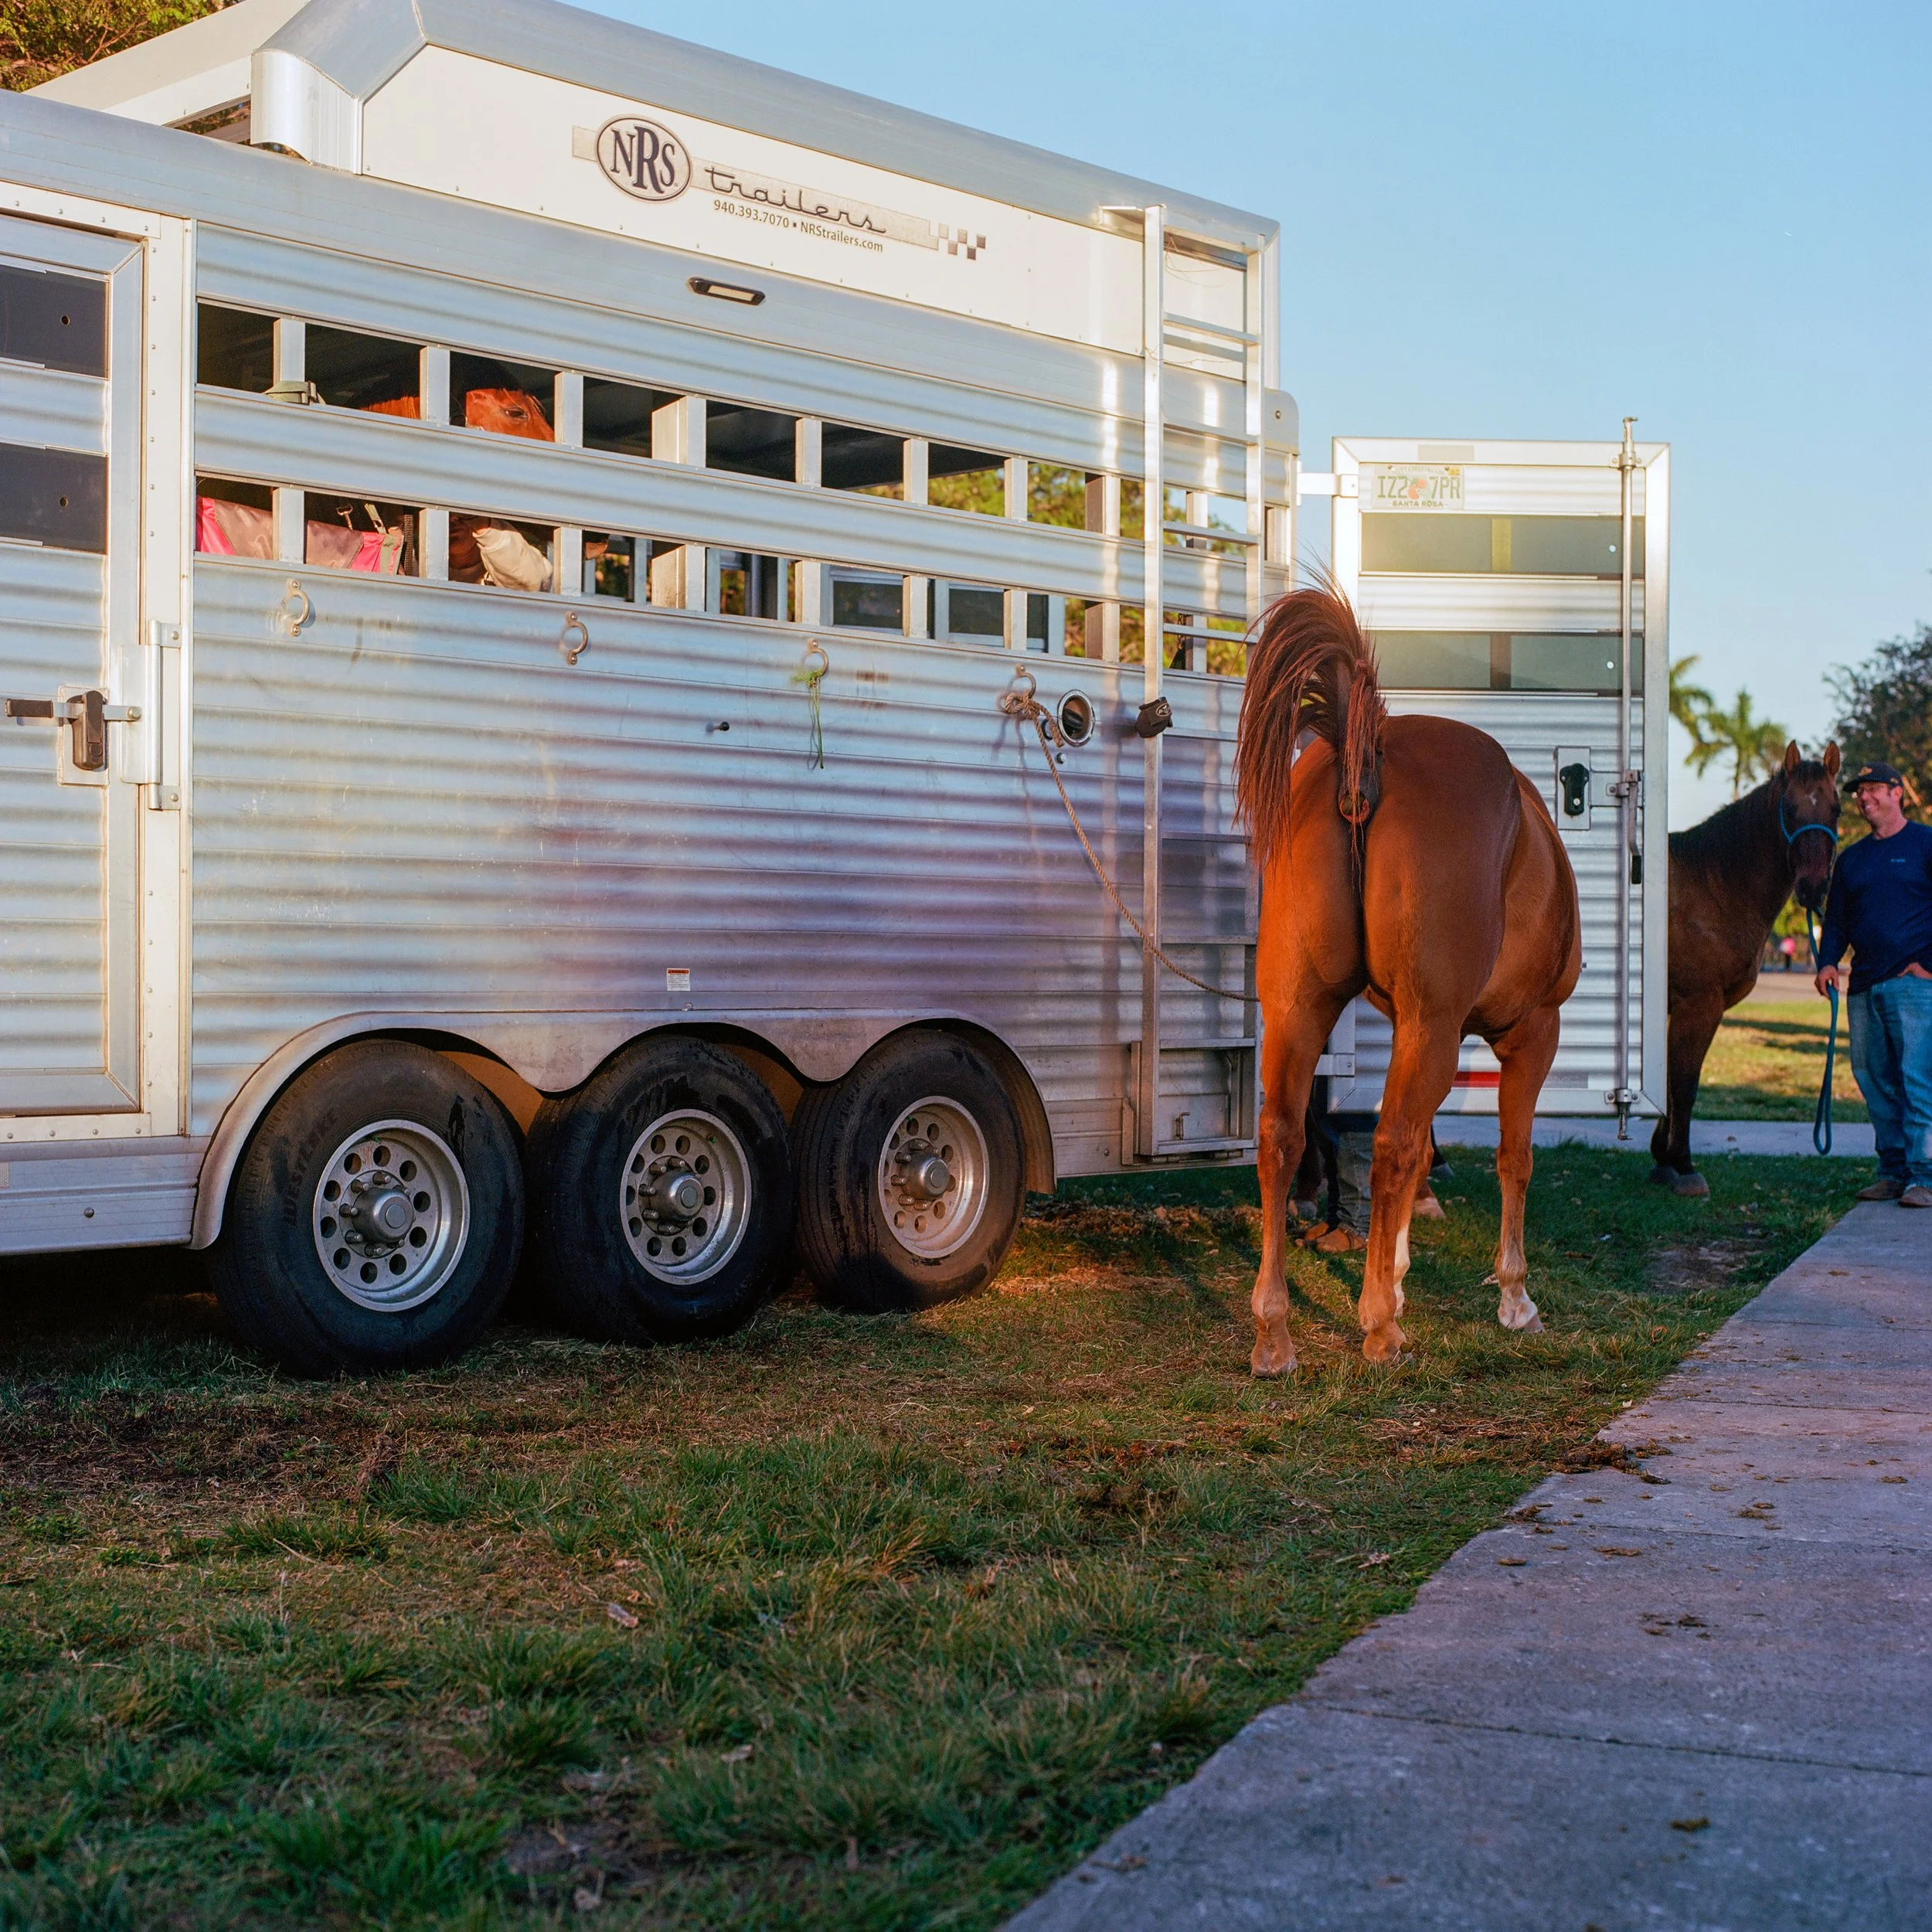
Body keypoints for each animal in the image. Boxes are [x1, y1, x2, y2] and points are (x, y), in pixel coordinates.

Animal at [1235, 588, 1582, 1374]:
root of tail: (1368, 748)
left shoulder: (1411, 1029)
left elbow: (1426, 1145)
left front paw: (1393, 1273)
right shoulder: (1527, 1033)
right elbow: (1512, 1157)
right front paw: (1514, 1297)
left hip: (1300, 1009)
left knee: (1281, 1138)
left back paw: (1275, 1333)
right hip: (1434, 1026)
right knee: (1391, 1143)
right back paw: (1379, 1328)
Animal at [1649, 741, 1840, 1194]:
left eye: (1837, 810)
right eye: (1789, 809)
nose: (1813, 889)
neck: (1714, 886)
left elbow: (1668, 1083)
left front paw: (1662, 1160)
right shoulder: (1699, 1006)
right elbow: (1684, 1085)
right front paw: (1683, 1165)